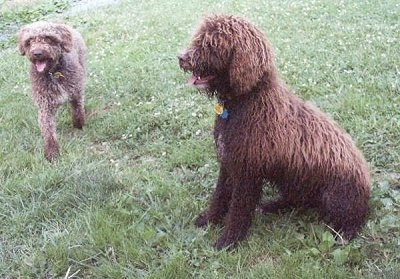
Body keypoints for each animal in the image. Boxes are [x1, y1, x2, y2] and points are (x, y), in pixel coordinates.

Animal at [18, 21, 86, 162]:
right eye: (30, 40)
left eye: (48, 38)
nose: (37, 53)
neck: (53, 73)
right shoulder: (45, 105)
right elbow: (48, 130)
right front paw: (52, 153)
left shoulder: (76, 92)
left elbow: (77, 109)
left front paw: (79, 125)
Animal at [180, 15, 370, 250]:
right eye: (199, 39)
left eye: (212, 44)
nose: (181, 58)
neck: (249, 99)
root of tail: (367, 185)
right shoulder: (229, 163)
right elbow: (220, 196)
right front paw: (209, 220)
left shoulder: (246, 173)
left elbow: (238, 209)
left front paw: (229, 240)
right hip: (293, 179)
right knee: (297, 201)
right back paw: (273, 206)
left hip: (333, 197)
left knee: (354, 219)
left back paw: (345, 233)